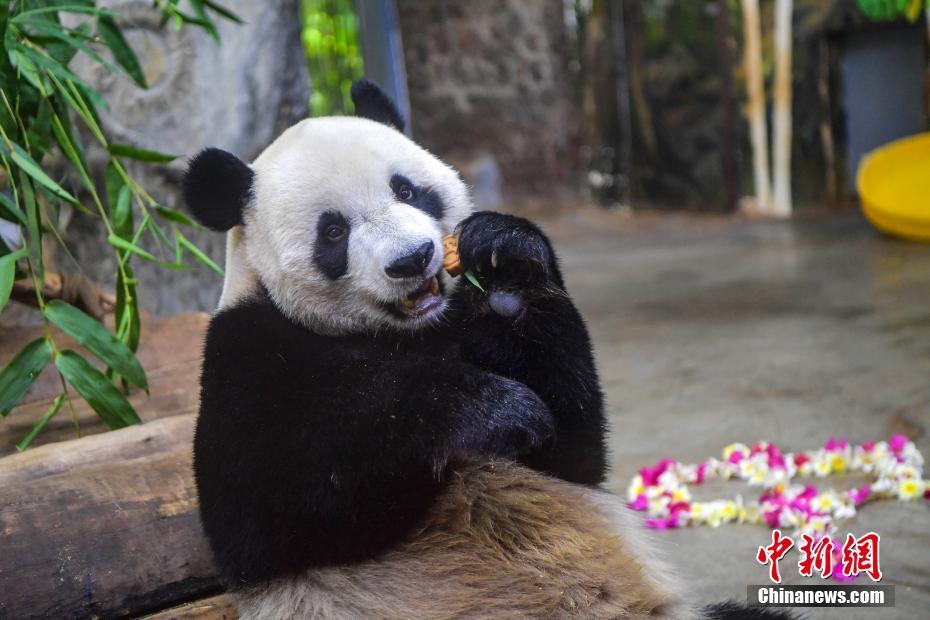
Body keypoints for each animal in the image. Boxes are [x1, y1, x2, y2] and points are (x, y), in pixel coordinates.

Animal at [185, 80, 792, 616]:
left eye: (406, 190)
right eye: (332, 232)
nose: (412, 258)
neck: (403, 333)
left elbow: (572, 451)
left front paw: (507, 260)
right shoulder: (246, 355)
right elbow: (278, 500)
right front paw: (496, 411)